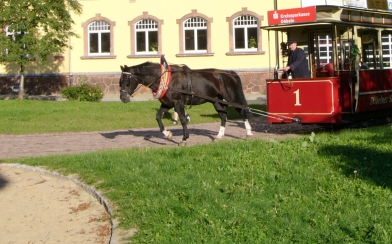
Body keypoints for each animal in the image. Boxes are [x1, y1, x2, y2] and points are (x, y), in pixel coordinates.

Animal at [119, 56, 253, 145]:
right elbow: (158, 117)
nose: (123, 98)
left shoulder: (178, 102)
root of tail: (229, 73)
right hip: (217, 101)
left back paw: (249, 133)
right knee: (223, 115)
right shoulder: (167, 104)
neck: (166, 79)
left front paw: (184, 139)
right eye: (120, 81)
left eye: (127, 80)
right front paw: (168, 134)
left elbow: (183, 119)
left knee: (242, 112)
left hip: (231, 98)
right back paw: (219, 136)